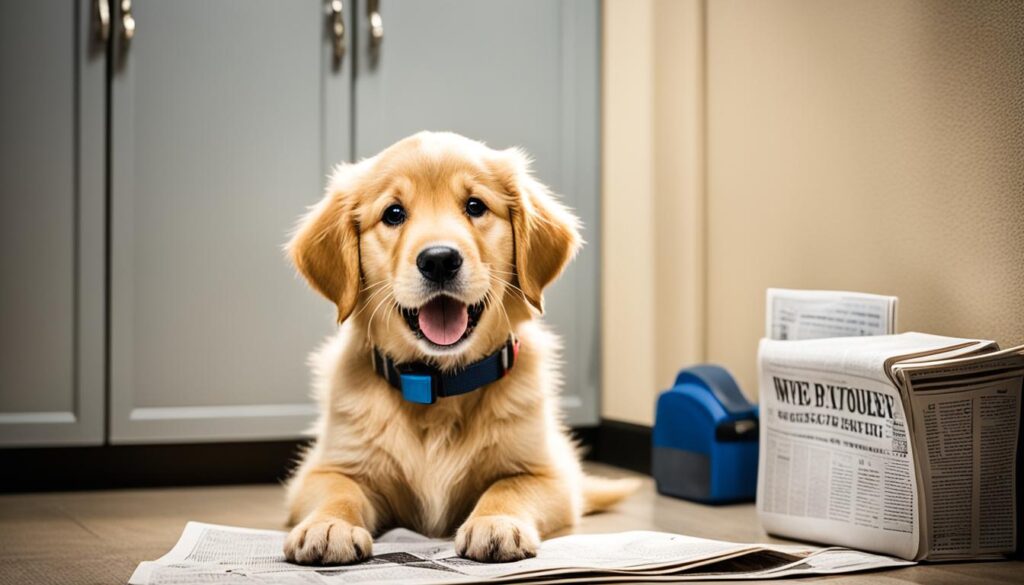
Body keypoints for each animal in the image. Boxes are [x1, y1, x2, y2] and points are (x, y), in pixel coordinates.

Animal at [284, 131, 634, 561]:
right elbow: (338, 489)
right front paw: (329, 525)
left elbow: (508, 486)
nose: (438, 260)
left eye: (475, 206)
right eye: (394, 214)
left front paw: (496, 522)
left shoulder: (545, 474)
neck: (439, 383)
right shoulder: (326, 467)